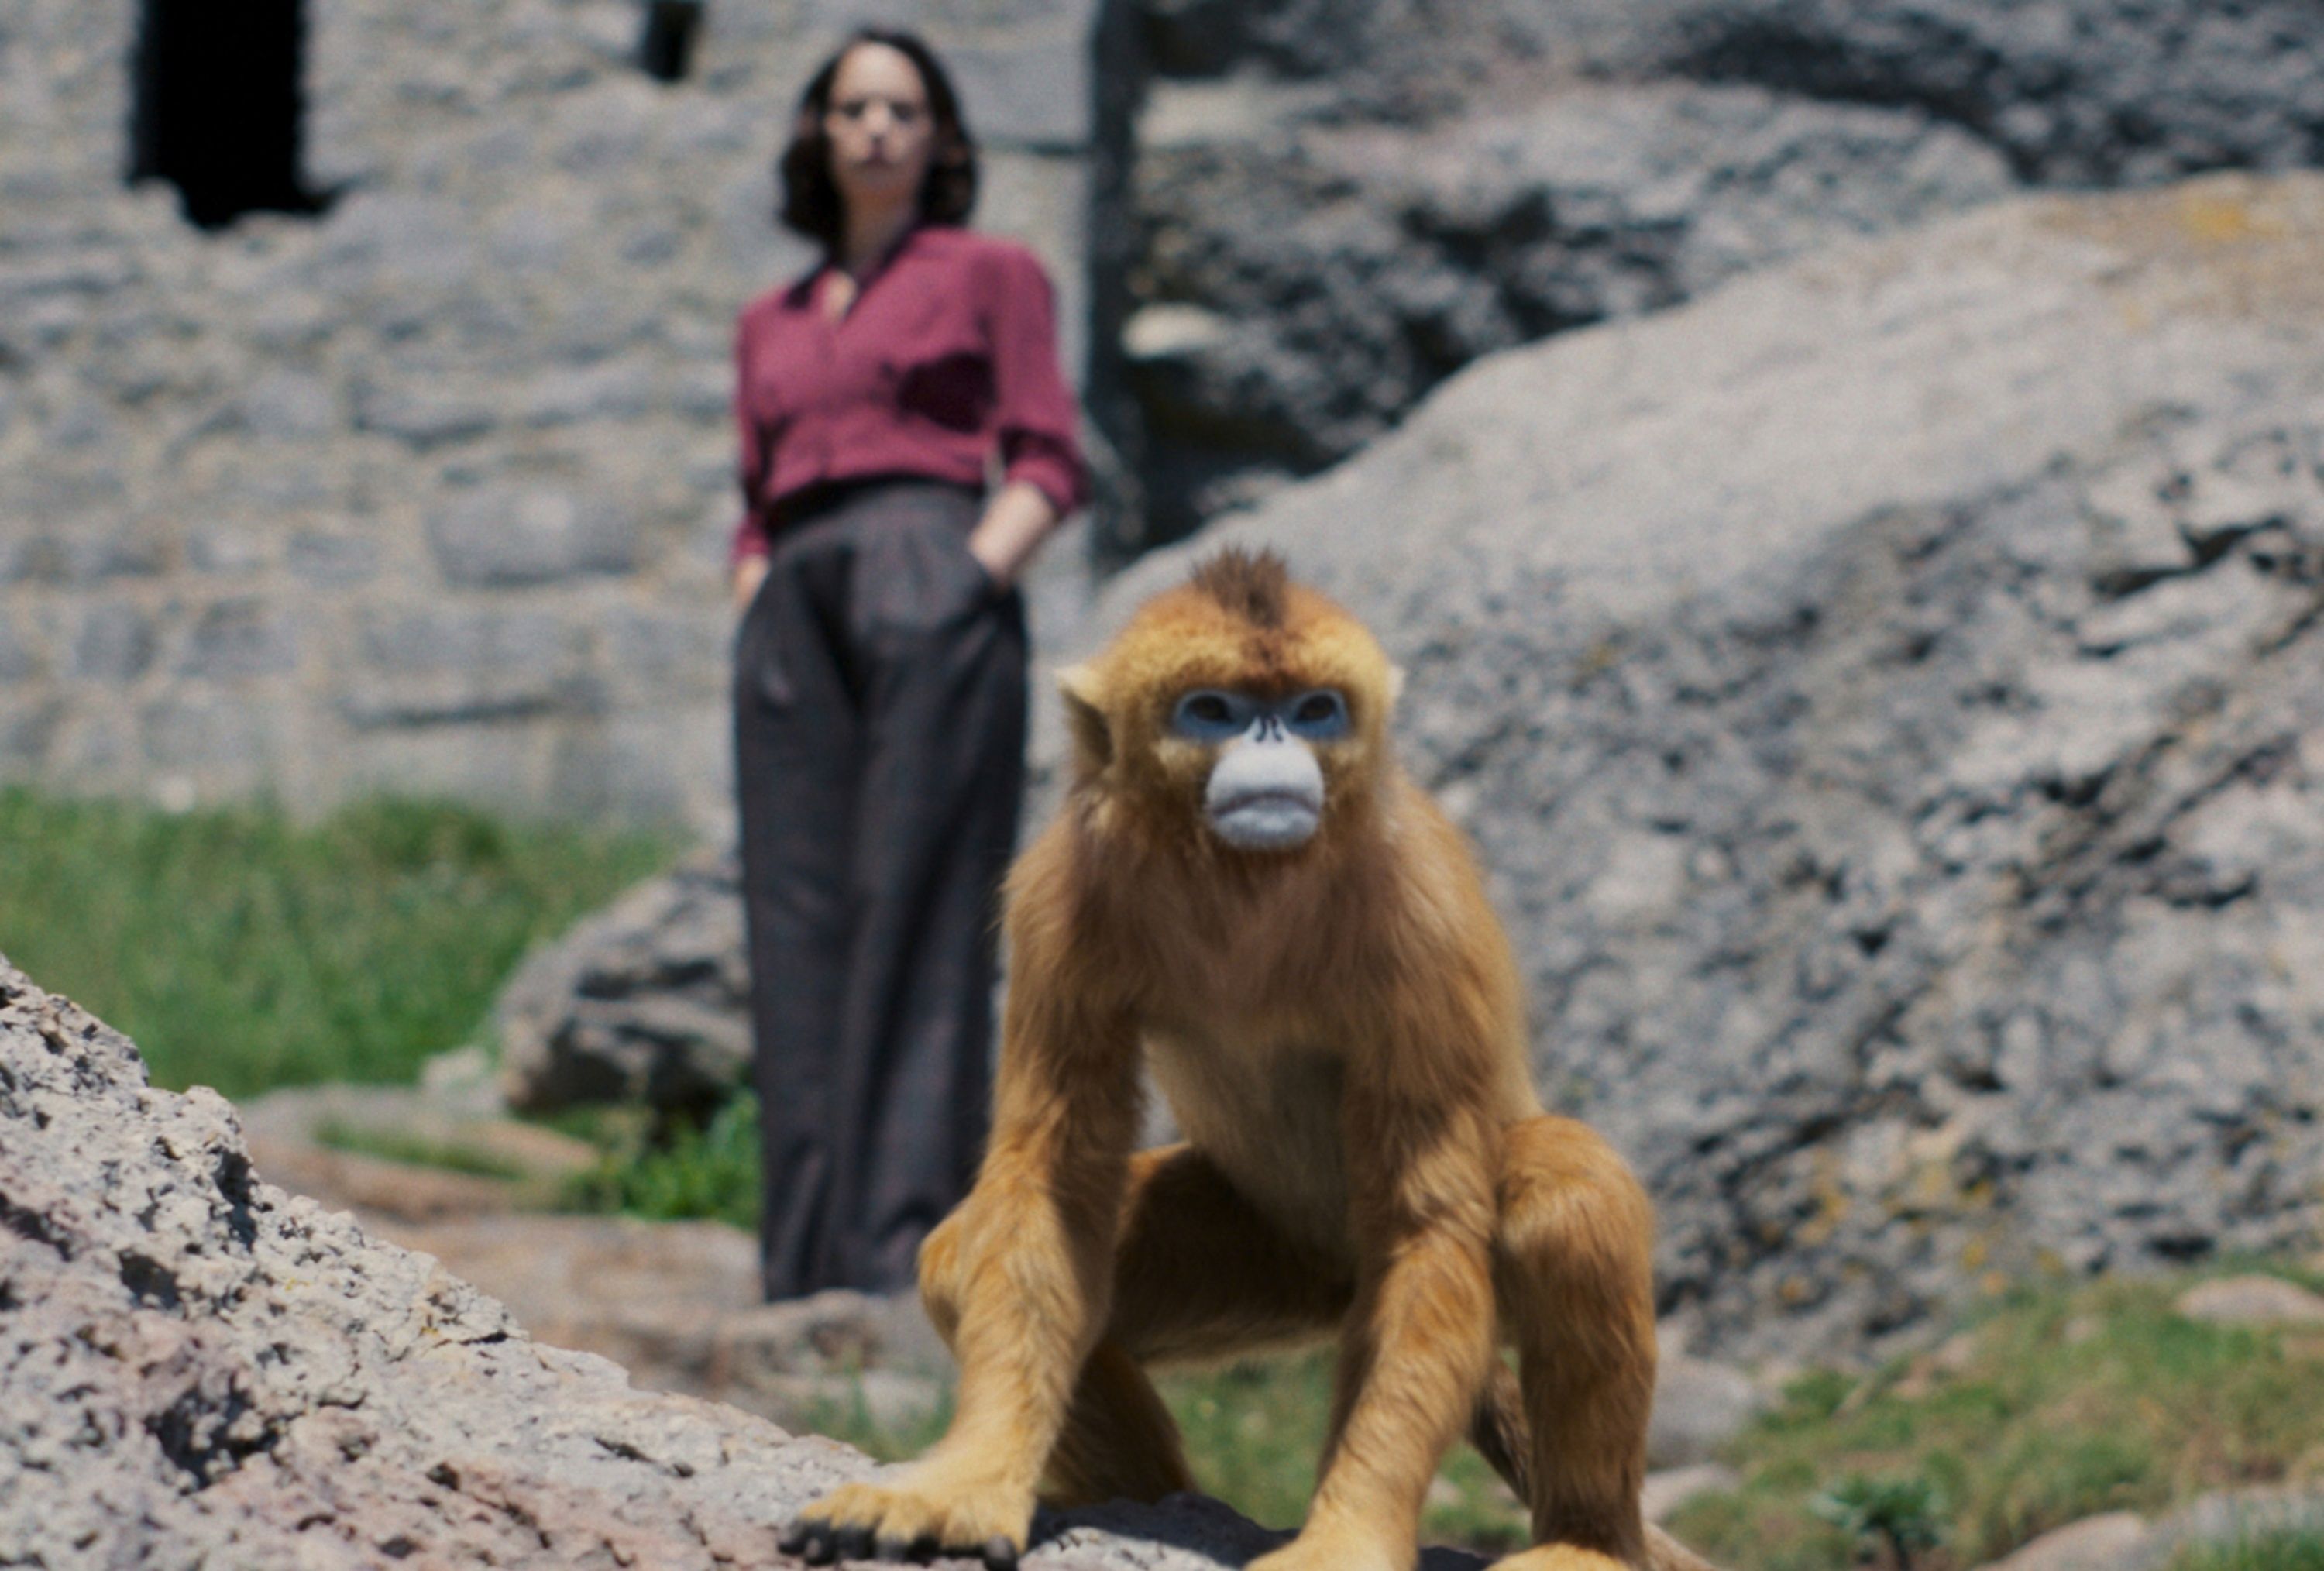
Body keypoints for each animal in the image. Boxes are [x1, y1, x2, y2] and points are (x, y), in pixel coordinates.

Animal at [790, 548, 1720, 1571]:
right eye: (1216, 709)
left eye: (1314, 709)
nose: (1274, 743)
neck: (1247, 885)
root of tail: (1336, 1277)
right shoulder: (1057, 891)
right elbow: (1050, 1175)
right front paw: (968, 1481)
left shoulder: (1426, 918)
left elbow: (1429, 1223)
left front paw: (1344, 1538)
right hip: (1278, 1256)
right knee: (964, 1257)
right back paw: (1152, 1501)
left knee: (1567, 1191)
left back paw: (1586, 1541)